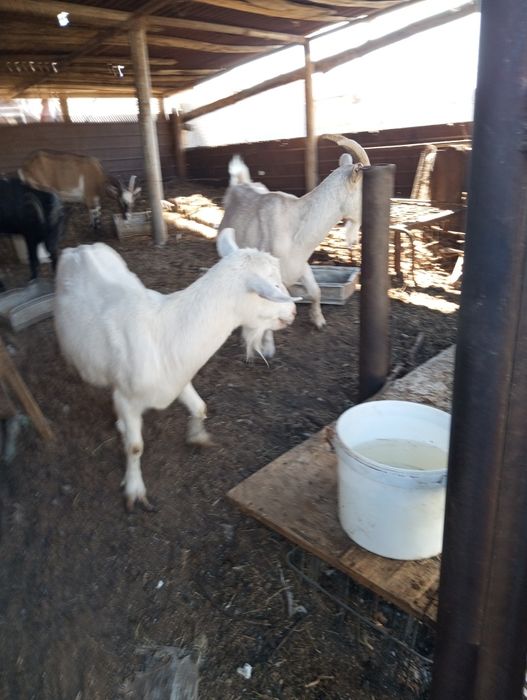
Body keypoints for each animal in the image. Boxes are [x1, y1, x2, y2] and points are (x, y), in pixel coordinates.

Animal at [54, 229, 299, 511]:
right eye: (273, 286)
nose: (294, 311)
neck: (164, 333)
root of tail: (80, 248)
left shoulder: (179, 380)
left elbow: (200, 407)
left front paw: (197, 436)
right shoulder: (127, 398)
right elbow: (135, 447)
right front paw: (135, 490)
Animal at [217, 134, 370, 358]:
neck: (296, 226)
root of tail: (238, 184)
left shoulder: (301, 265)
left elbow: (315, 290)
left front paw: (319, 321)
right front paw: (268, 348)